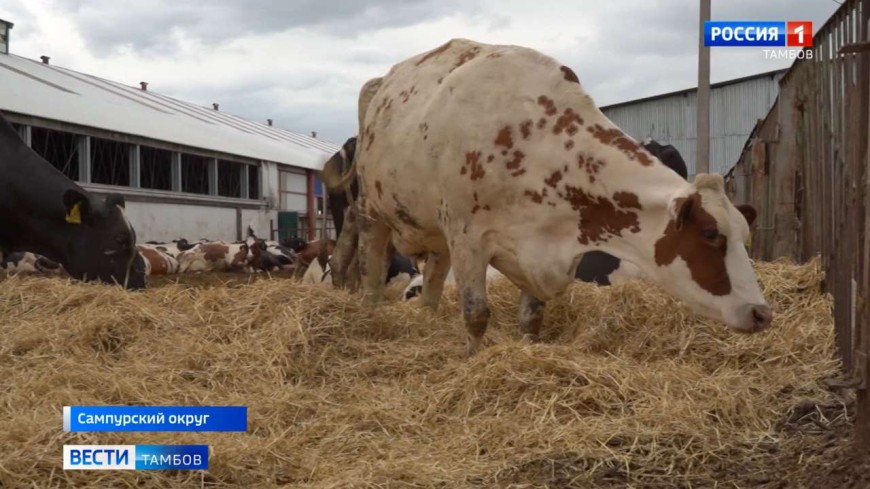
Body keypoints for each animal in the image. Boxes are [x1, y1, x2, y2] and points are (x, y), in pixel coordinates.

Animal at [330, 39, 772, 354]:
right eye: (712, 236)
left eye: (746, 237)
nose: (762, 313)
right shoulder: (468, 238)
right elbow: (476, 314)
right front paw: (472, 360)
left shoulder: (536, 247)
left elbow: (531, 319)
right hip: (373, 211)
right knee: (366, 264)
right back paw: (368, 312)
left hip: (434, 233)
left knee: (433, 282)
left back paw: (427, 318)